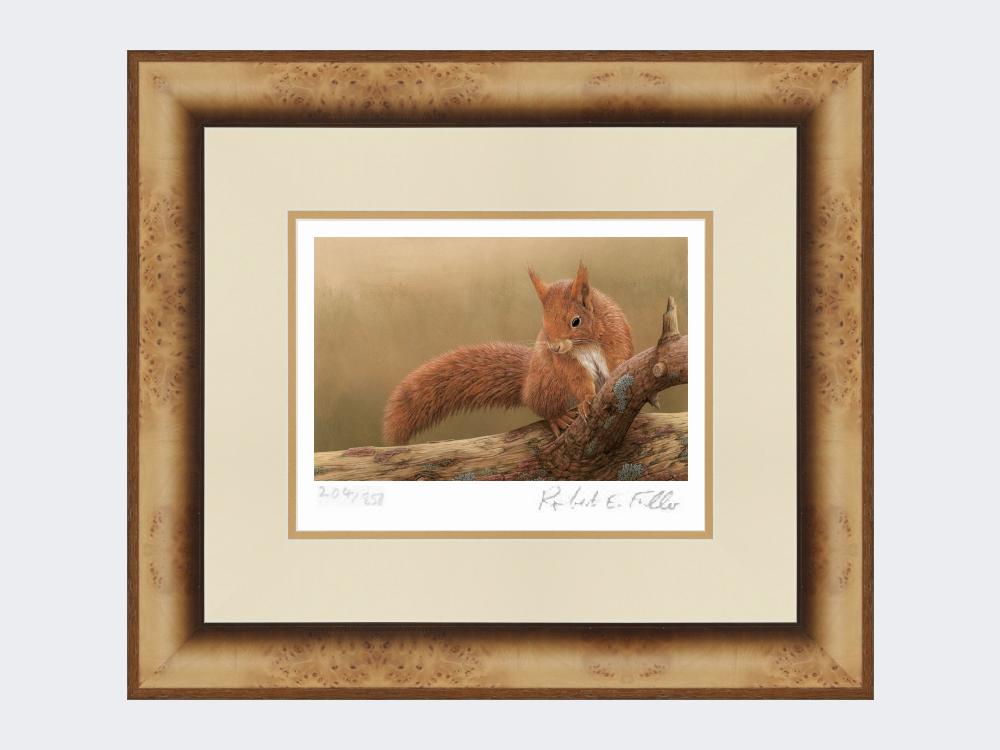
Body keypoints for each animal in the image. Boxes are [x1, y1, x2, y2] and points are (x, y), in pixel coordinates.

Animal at [382, 262, 634, 444]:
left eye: (576, 321)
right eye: (543, 324)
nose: (553, 347)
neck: (583, 344)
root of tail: (527, 385)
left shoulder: (615, 336)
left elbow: (619, 359)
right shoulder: (566, 363)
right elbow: (577, 378)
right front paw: (586, 401)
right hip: (549, 384)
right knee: (544, 408)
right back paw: (559, 417)